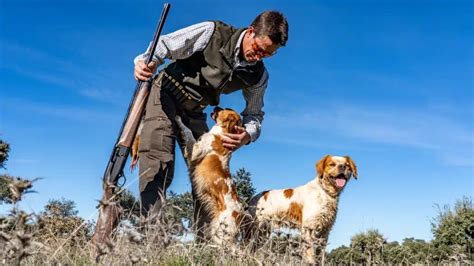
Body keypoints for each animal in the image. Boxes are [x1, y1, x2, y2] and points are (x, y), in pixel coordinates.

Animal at [177, 107, 244, 244]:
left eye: (226, 109)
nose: (216, 106)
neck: (222, 132)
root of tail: (239, 213)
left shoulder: (195, 151)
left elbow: (188, 132)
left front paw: (179, 119)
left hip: (220, 234)